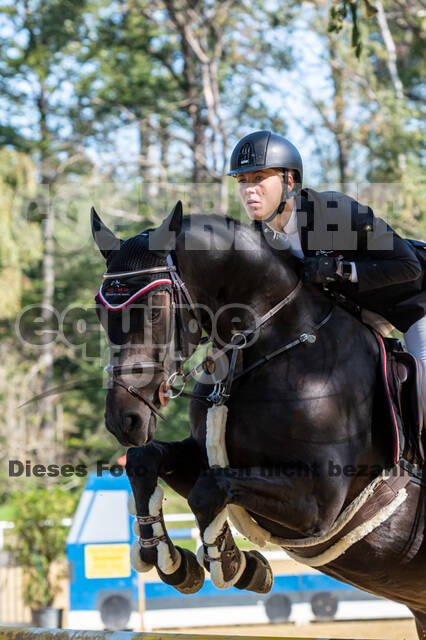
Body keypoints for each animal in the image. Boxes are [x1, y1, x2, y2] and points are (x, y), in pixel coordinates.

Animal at [91, 202, 424, 636]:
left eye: (155, 311)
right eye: (100, 311)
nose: (123, 420)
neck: (267, 344)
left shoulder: (319, 505)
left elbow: (210, 489)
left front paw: (232, 564)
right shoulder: (207, 455)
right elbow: (146, 460)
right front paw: (171, 561)